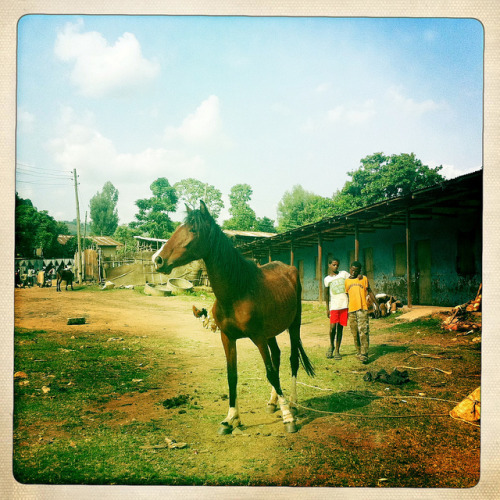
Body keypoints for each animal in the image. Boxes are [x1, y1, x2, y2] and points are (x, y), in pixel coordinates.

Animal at [152, 200, 314, 434]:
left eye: (193, 230)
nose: (158, 260)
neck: (237, 291)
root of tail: (289, 268)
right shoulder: (228, 337)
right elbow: (232, 375)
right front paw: (231, 419)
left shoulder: (258, 338)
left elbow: (270, 373)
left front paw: (288, 418)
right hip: (271, 333)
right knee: (277, 356)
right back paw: (273, 402)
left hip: (293, 325)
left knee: (292, 361)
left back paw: (291, 404)